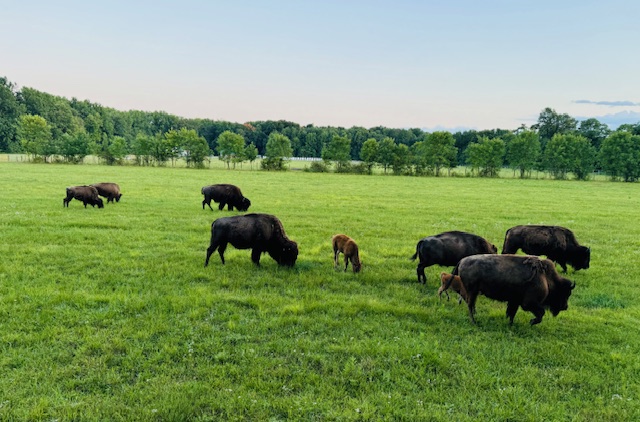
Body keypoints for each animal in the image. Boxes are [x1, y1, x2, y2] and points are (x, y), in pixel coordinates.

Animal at [445, 254, 575, 325]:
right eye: (565, 293)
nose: (565, 306)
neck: (547, 277)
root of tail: (462, 260)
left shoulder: (515, 301)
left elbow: (511, 313)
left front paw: (510, 324)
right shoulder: (529, 303)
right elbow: (540, 313)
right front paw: (531, 322)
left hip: (474, 292)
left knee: (471, 304)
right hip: (472, 291)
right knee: (470, 304)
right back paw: (474, 322)